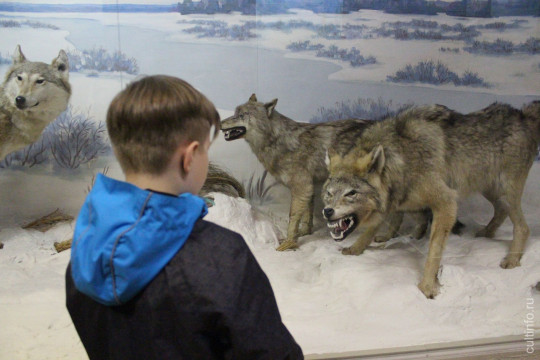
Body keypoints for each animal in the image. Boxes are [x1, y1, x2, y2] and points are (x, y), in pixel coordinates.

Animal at [220, 93, 372, 250]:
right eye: (235, 113)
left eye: (242, 115)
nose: (219, 123)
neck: (277, 140)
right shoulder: (309, 187)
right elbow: (306, 214)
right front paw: (305, 232)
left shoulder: (302, 186)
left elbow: (292, 216)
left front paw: (289, 243)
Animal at [320, 100, 540, 298]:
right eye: (329, 193)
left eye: (351, 193)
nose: (327, 211)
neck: (402, 157)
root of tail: (524, 115)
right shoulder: (398, 198)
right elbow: (377, 227)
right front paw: (356, 248)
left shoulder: (447, 202)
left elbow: (434, 250)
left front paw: (427, 287)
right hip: (490, 189)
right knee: (501, 212)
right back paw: (486, 233)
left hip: (505, 193)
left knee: (523, 227)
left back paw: (512, 260)